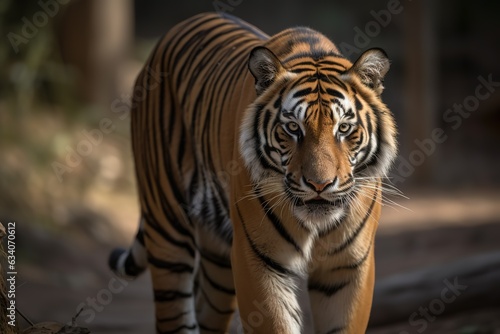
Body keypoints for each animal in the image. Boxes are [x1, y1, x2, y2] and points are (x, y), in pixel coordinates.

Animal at [109, 11, 398, 334]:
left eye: (344, 128)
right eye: (292, 127)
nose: (319, 185)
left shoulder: (348, 266)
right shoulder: (257, 259)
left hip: (218, 261)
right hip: (166, 227)